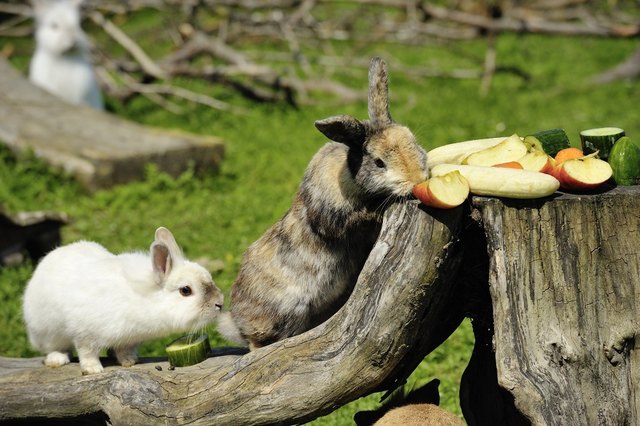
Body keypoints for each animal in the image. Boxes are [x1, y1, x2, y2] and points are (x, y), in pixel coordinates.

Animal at [22, 227, 224, 375]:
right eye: (185, 290)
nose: (220, 303)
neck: (145, 300)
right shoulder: (84, 333)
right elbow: (87, 352)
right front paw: (93, 370)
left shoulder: (128, 339)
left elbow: (123, 350)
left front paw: (129, 361)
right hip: (46, 332)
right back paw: (57, 359)